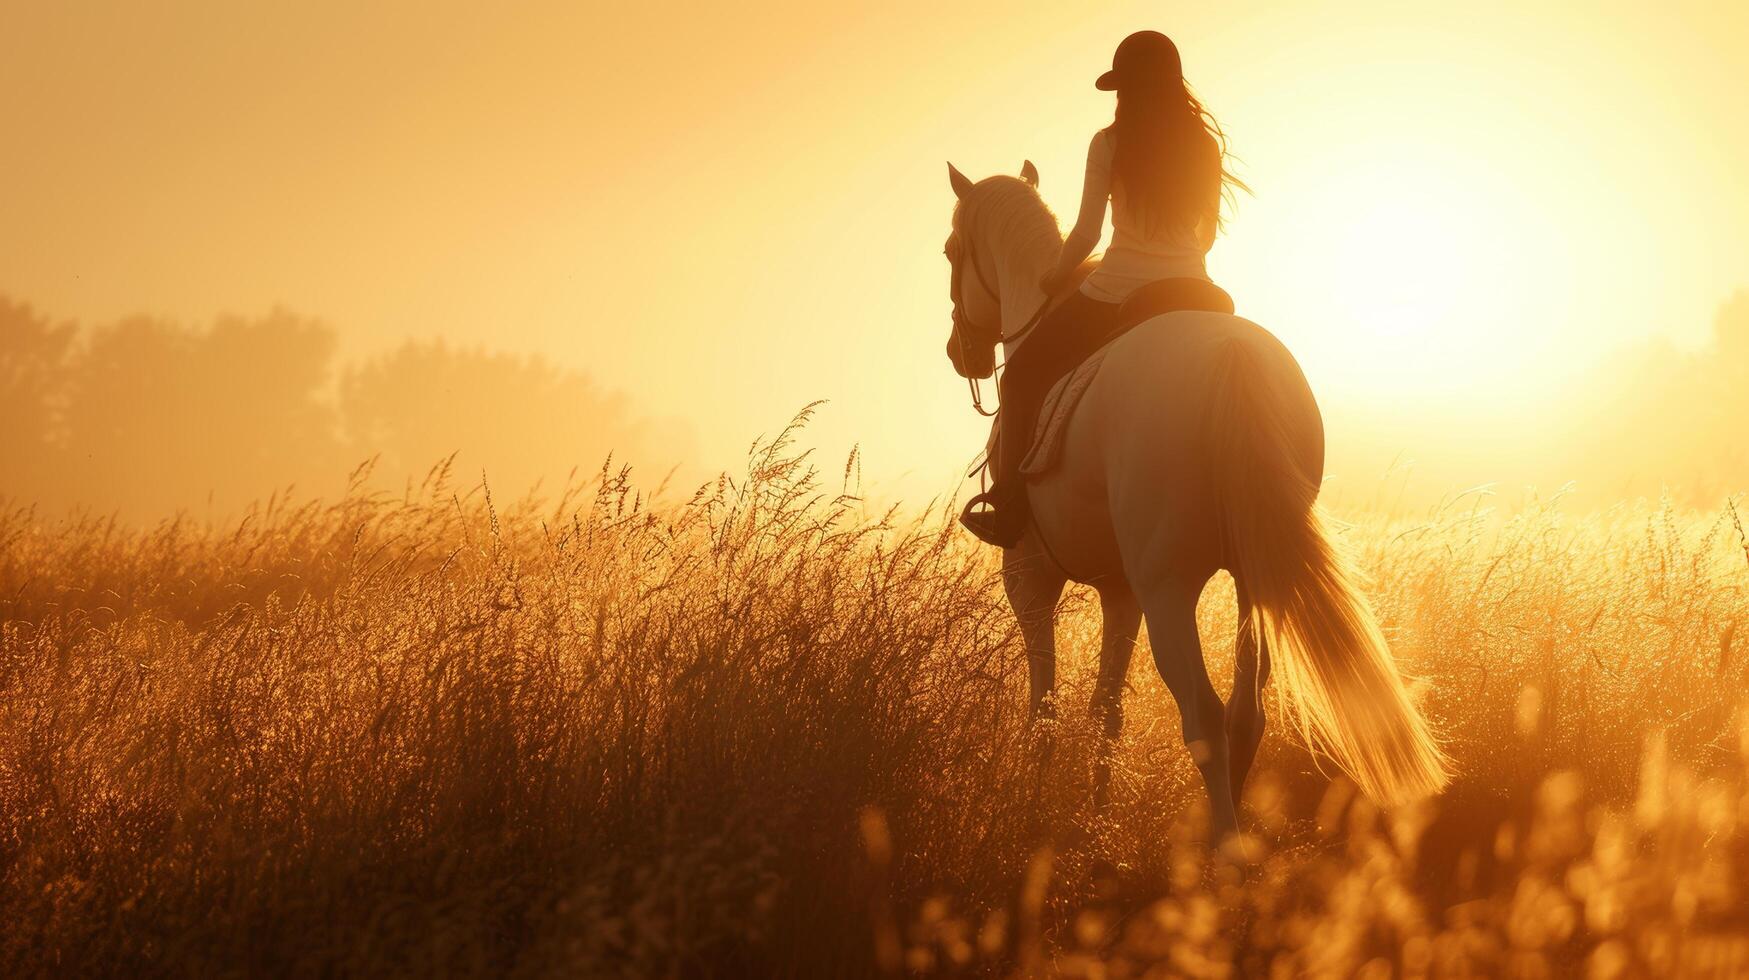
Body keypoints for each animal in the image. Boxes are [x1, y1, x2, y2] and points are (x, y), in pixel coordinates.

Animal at [944, 162, 1448, 843]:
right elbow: (1106, 712)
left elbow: (1044, 713)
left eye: (951, 251)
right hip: (1252, 580)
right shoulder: (1120, 591)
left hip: (1169, 588)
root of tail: (1231, 359)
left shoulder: (1030, 578)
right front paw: (1092, 827)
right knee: (1244, 712)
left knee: (1205, 716)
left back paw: (1224, 851)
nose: (959, 351)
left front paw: (1032, 824)